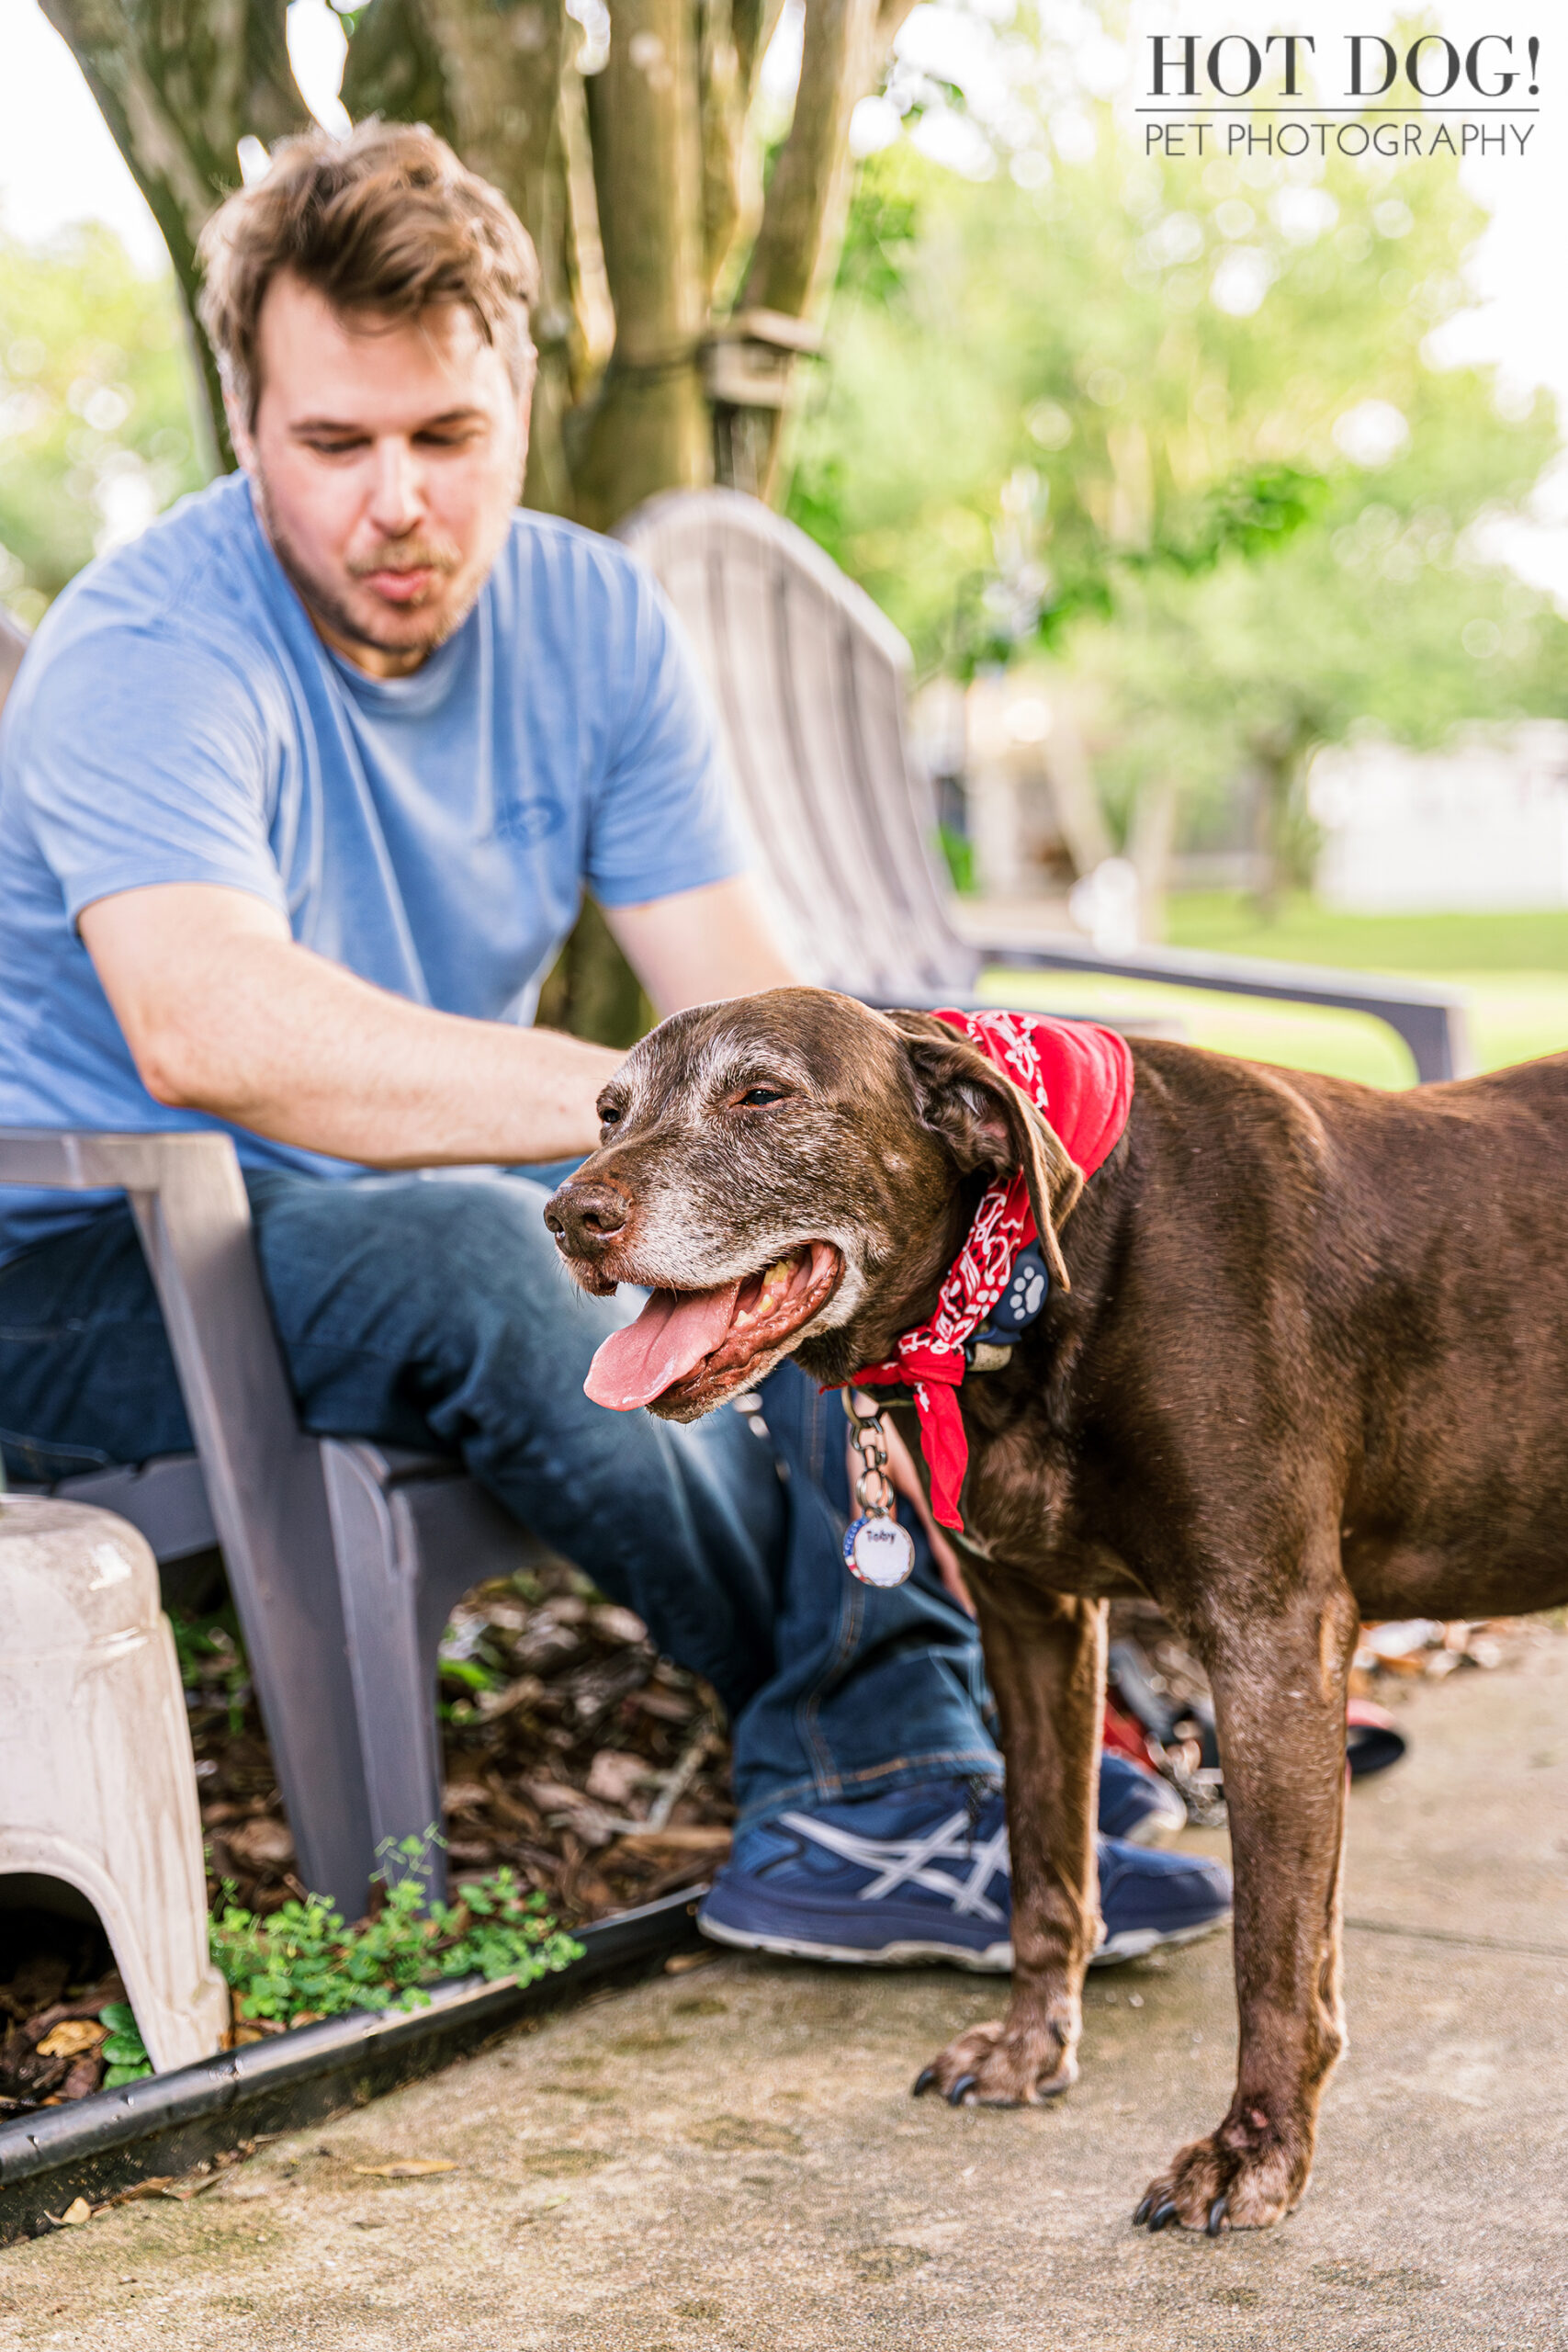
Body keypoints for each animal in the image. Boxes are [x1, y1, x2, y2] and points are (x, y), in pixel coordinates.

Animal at [543, 983, 1568, 2229]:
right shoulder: (1033, 1623)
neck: (1033, 1281)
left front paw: (1257, 2146)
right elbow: (1045, 1872)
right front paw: (1032, 2047)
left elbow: (1275, 1948)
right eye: (609, 1110)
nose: (569, 1216)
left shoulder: (1271, 1630)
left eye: (762, 1094)